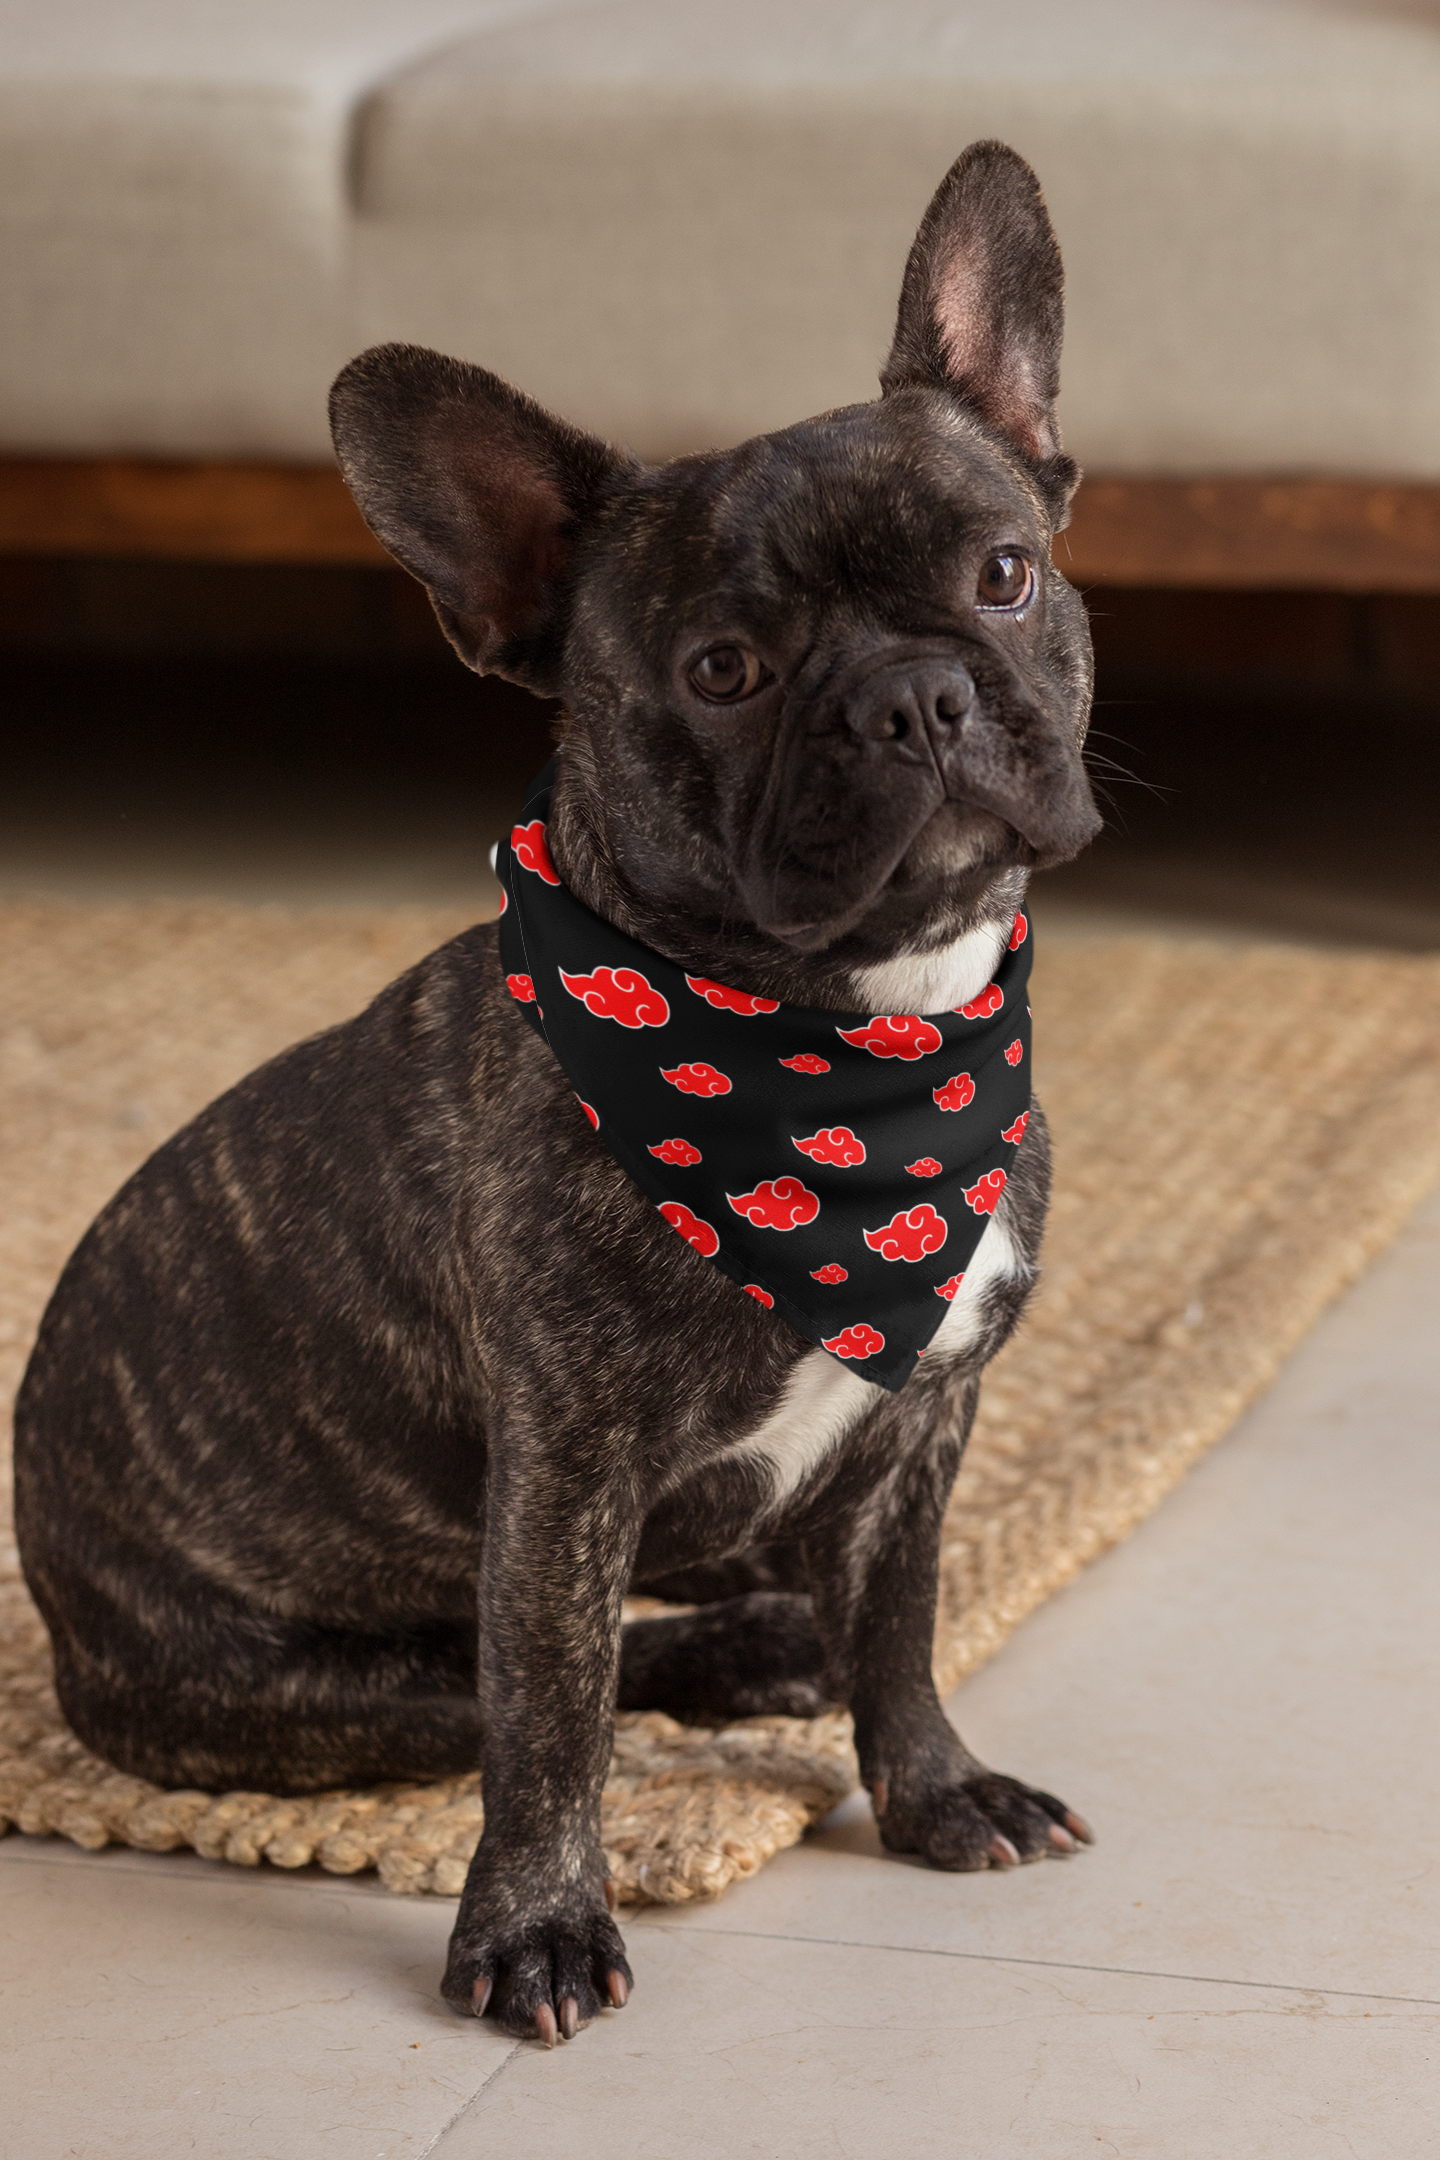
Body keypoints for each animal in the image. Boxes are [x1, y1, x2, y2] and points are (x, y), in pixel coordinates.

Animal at [14, 147, 1105, 2039]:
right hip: (286, 1694)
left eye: (1004, 572)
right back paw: (732, 1651)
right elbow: (550, 1718)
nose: (912, 695)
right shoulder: (563, 1477)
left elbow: (902, 1626)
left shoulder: (925, 1423)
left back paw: (768, 1628)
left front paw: (937, 1789)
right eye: (723, 670)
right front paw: (534, 1925)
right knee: (505, 1690)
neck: (849, 1046)